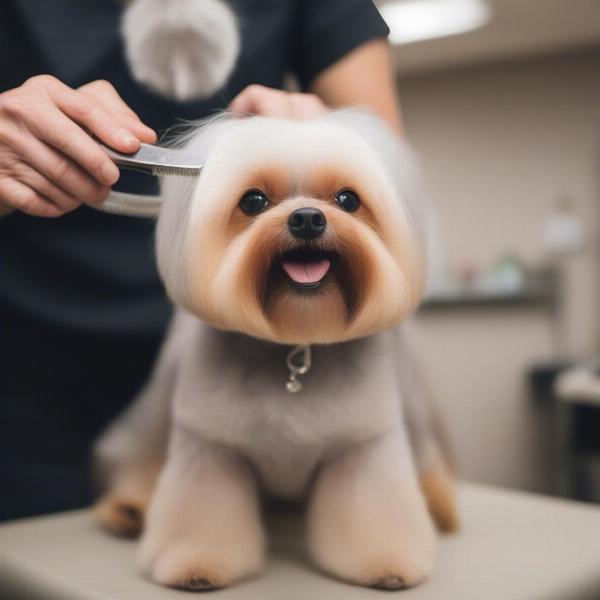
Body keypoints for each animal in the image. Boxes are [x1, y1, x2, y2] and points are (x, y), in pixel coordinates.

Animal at [95, 111, 460, 592]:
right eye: (253, 201)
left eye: (348, 199)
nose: (307, 218)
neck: (294, 343)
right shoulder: (211, 448)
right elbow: (200, 513)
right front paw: (194, 564)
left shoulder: (362, 447)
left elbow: (372, 509)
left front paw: (386, 563)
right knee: (141, 451)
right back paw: (127, 508)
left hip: (412, 407)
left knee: (428, 456)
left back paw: (442, 507)